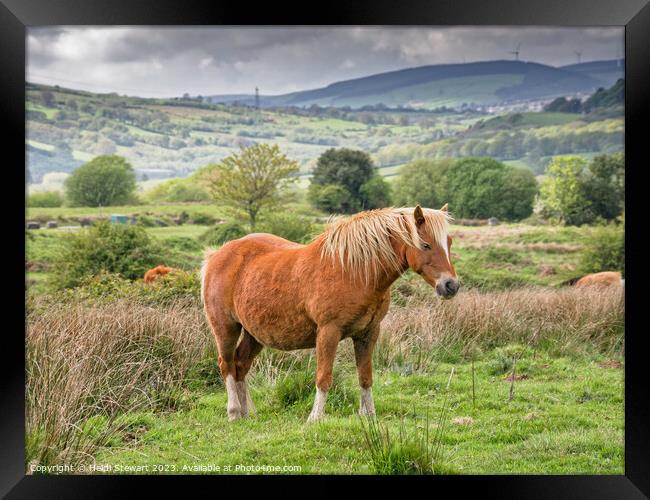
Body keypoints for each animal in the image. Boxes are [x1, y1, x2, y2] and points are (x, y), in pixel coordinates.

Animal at [200, 205, 458, 420]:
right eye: (426, 245)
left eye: (449, 242)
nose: (451, 286)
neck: (353, 270)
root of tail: (217, 255)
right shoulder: (328, 333)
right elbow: (324, 378)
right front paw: (315, 419)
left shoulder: (368, 333)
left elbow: (365, 376)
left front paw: (369, 415)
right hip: (226, 329)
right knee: (227, 365)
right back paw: (234, 412)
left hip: (254, 334)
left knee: (241, 366)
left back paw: (248, 413)